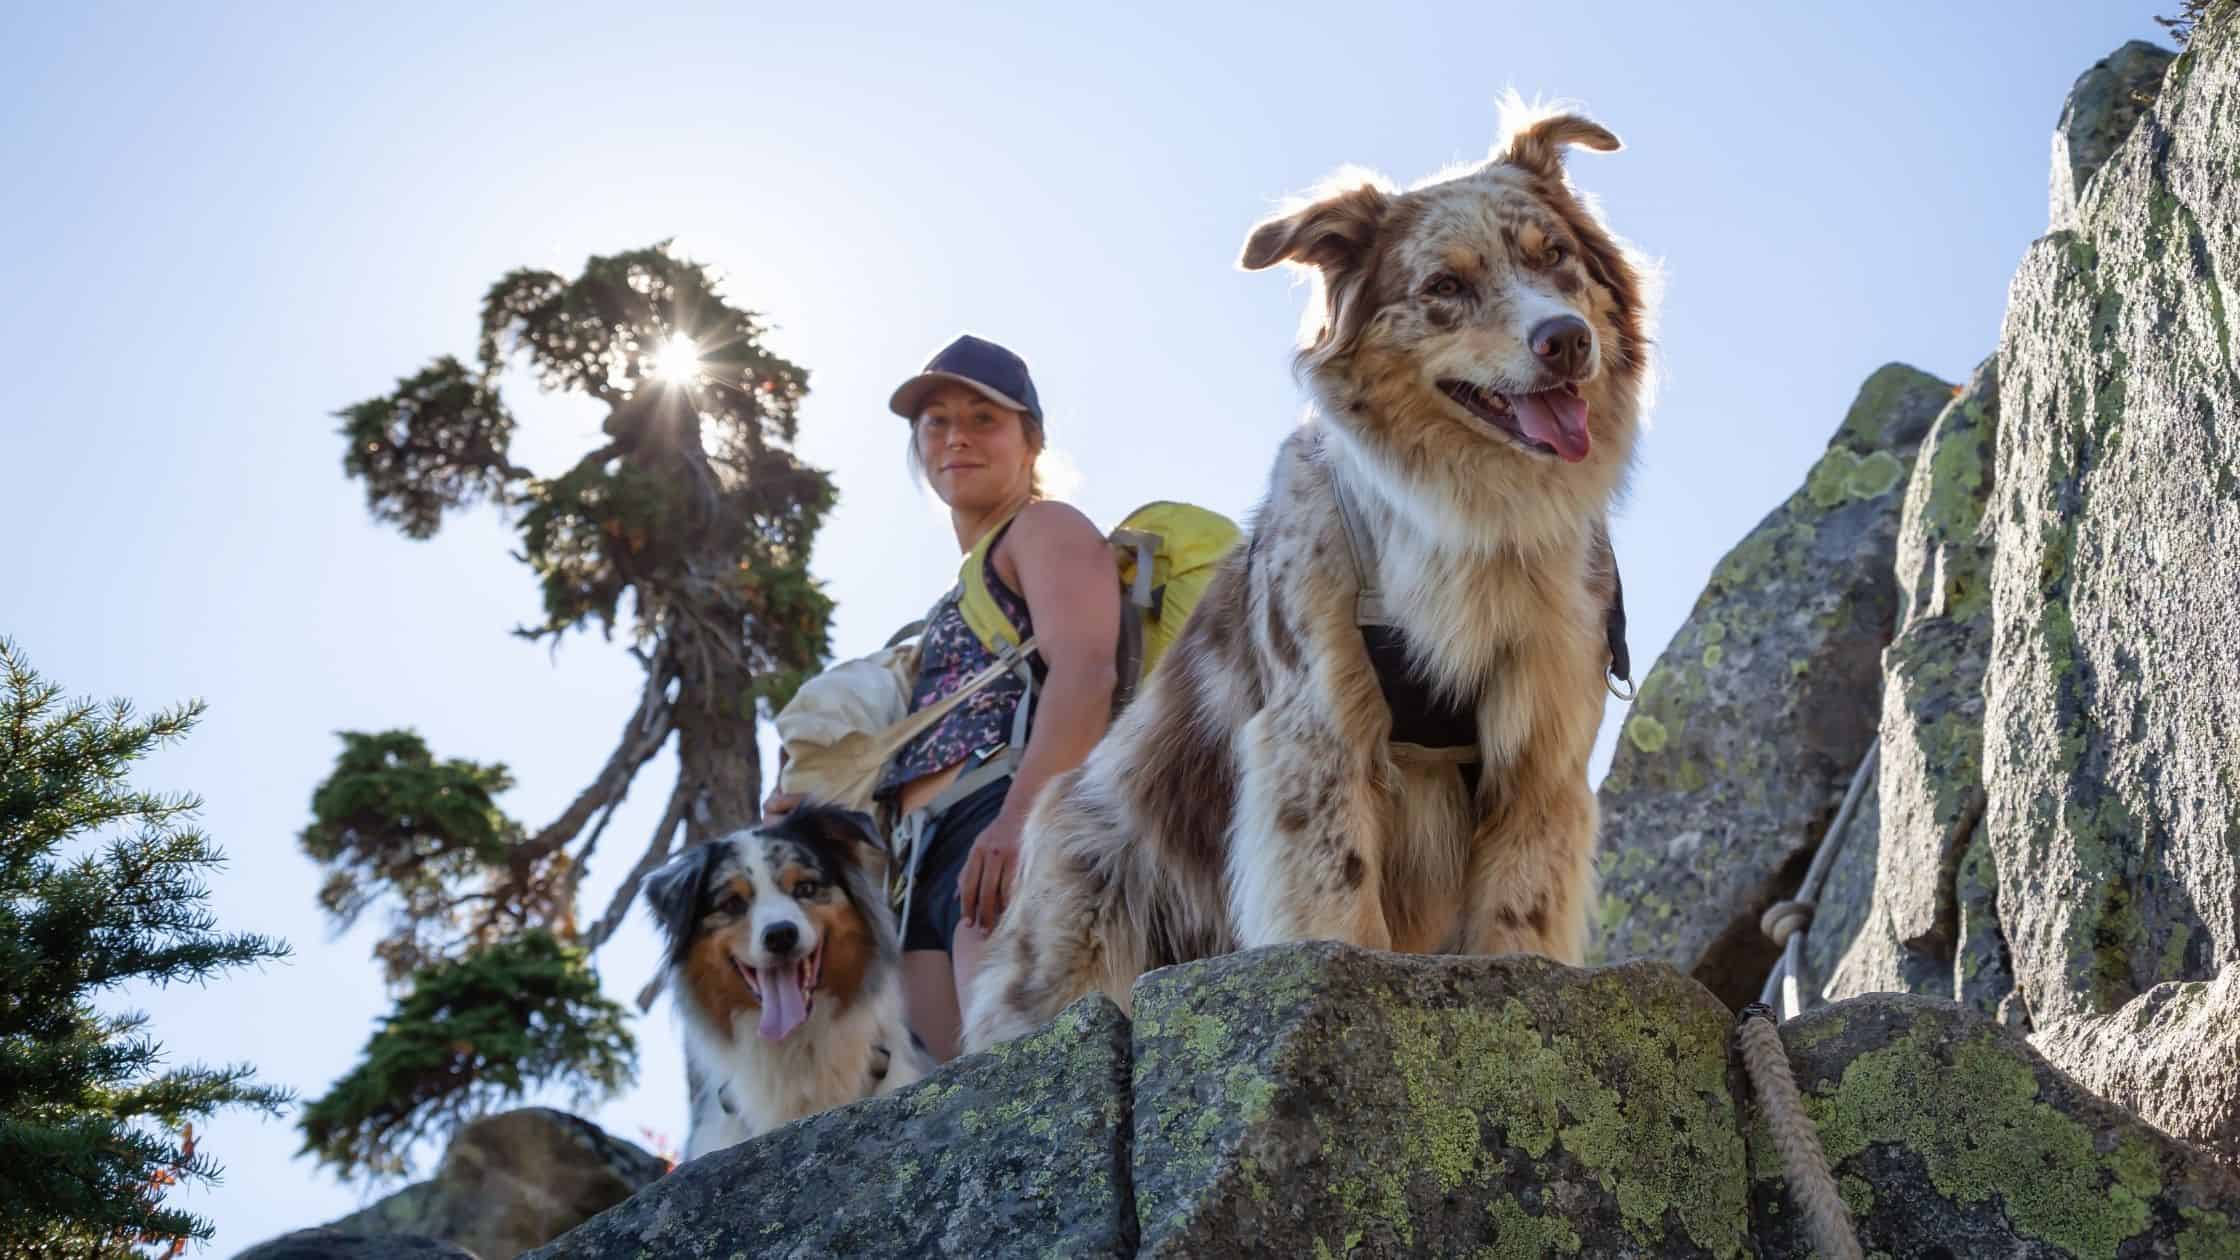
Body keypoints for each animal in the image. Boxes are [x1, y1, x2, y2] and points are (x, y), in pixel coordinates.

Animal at [963, 110, 1648, 1049]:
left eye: (1556, 259)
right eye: (1444, 284)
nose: (1566, 338)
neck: (1474, 519)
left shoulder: (1541, 740)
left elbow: (1520, 908)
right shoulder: (1315, 727)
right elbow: (1336, 897)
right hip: (1091, 897)